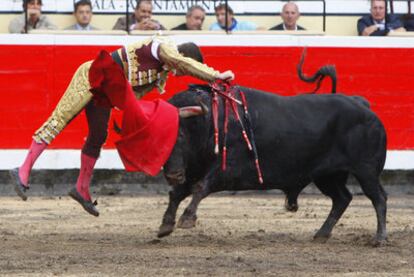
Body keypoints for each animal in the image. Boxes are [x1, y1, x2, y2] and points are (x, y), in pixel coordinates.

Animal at [158, 85, 388, 245]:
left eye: (180, 134)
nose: (173, 174)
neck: (210, 122)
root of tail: (362, 105)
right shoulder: (195, 169)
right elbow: (177, 193)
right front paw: (165, 225)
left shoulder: (225, 169)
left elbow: (199, 187)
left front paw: (187, 219)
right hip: (327, 176)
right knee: (342, 198)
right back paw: (321, 234)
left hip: (366, 170)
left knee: (378, 197)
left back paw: (379, 238)